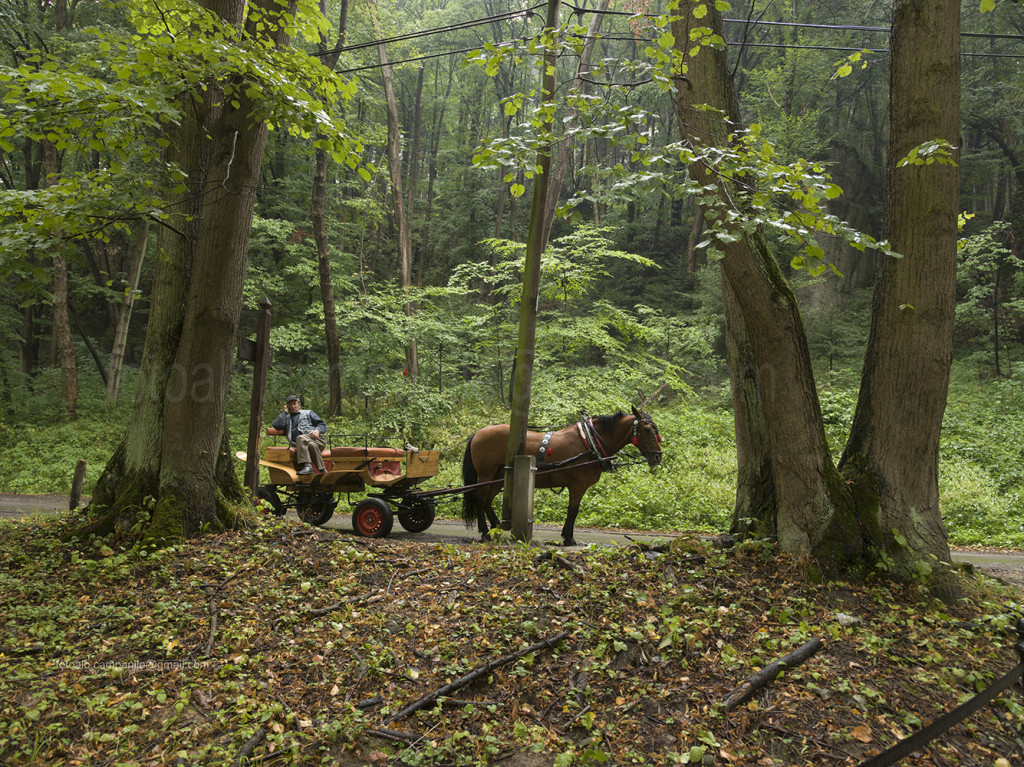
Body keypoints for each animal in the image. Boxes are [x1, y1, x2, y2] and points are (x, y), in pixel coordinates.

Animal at [458, 407, 663, 544]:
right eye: (647, 430)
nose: (658, 456)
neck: (591, 442)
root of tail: (477, 433)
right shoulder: (578, 485)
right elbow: (573, 510)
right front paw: (569, 538)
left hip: (499, 478)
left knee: (487, 501)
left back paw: (496, 527)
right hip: (486, 475)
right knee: (480, 499)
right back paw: (485, 532)